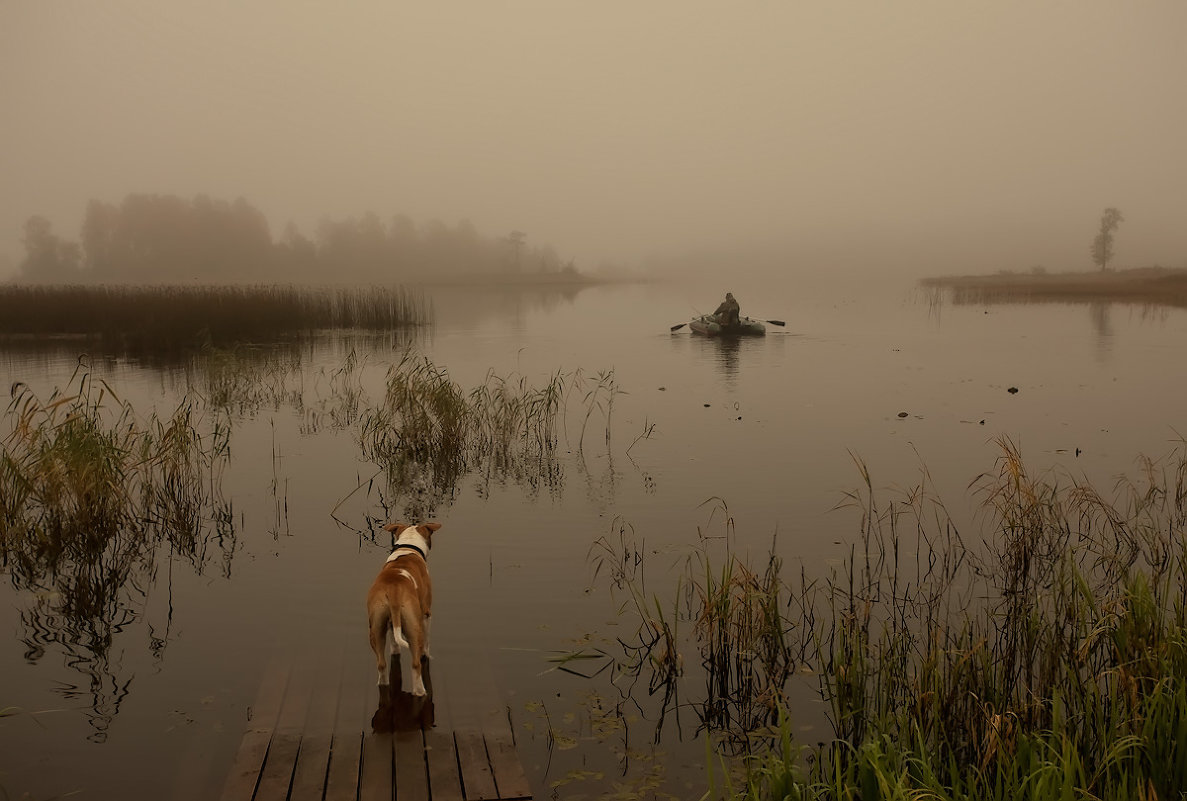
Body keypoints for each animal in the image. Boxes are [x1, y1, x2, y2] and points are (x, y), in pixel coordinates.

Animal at [365, 522, 441, 697]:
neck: (408, 546)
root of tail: (394, 590)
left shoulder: (392, 623)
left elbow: (394, 641)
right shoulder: (426, 614)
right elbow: (427, 640)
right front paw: (426, 653)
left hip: (376, 625)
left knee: (381, 664)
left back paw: (383, 683)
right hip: (414, 625)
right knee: (416, 665)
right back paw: (420, 691)